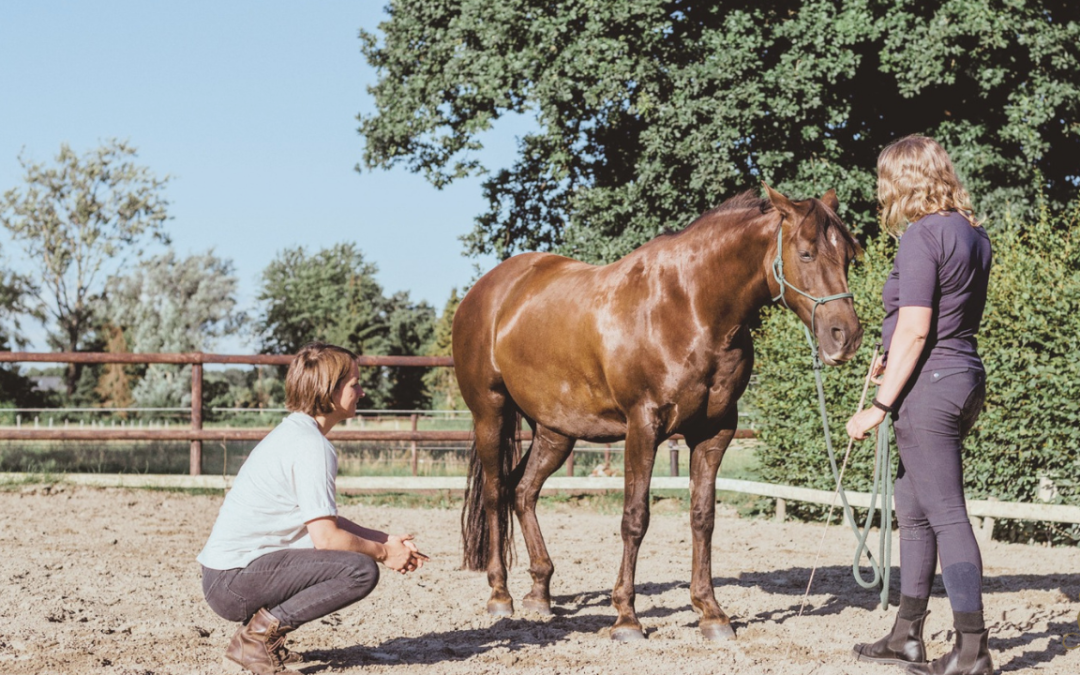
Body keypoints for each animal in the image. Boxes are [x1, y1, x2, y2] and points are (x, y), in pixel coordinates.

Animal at [451, 185, 864, 643]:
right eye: (806, 253)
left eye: (849, 255)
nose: (845, 336)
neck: (691, 307)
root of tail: (486, 291)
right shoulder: (643, 426)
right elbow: (635, 518)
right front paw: (626, 618)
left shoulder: (715, 432)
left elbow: (703, 518)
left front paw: (711, 613)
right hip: (491, 413)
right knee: (495, 494)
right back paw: (500, 594)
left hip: (554, 430)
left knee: (523, 491)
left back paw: (540, 592)